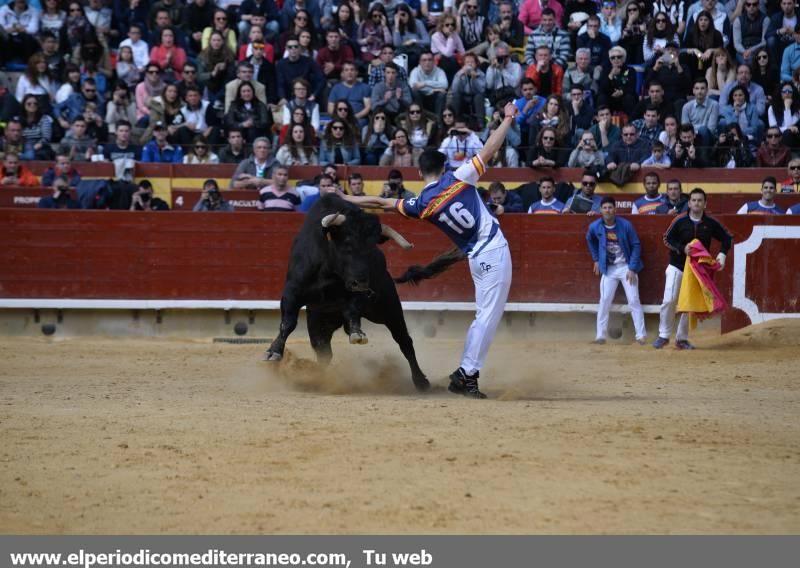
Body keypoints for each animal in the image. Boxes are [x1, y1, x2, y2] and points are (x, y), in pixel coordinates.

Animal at [262, 194, 462, 390]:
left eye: (373, 248)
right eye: (347, 244)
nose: (361, 283)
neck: (329, 271)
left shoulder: (360, 296)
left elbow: (352, 310)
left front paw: (357, 333)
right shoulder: (291, 293)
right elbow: (287, 323)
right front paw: (273, 352)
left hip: (389, 310)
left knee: (404, 341)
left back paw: (421, 381)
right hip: (320, 321)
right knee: (323, 351)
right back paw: (317, 379)